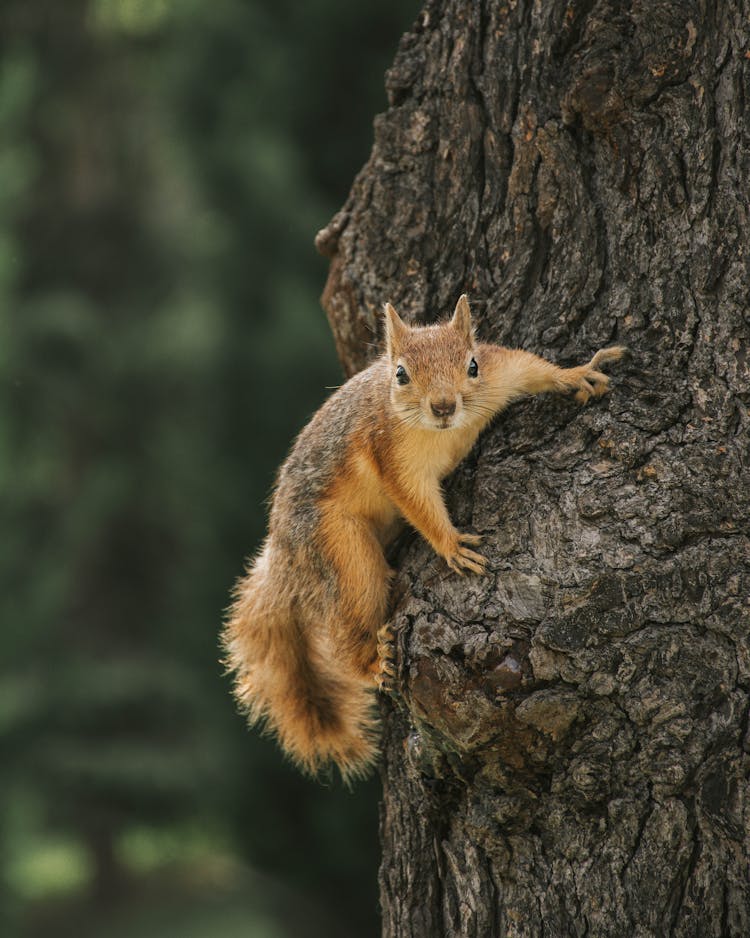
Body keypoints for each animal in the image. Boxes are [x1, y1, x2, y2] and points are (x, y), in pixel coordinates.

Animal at [222, 296, 624, 780]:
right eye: (400, 374)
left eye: (471, 365)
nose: (444, 405)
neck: (446, 432)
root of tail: (282, 552)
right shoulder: (391, 455)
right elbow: (416, 501)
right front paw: (451, 544)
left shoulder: (500, 372)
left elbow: (530, 367)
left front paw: (577, 373)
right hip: (340, 549)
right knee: (350, 621)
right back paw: (372, 662)